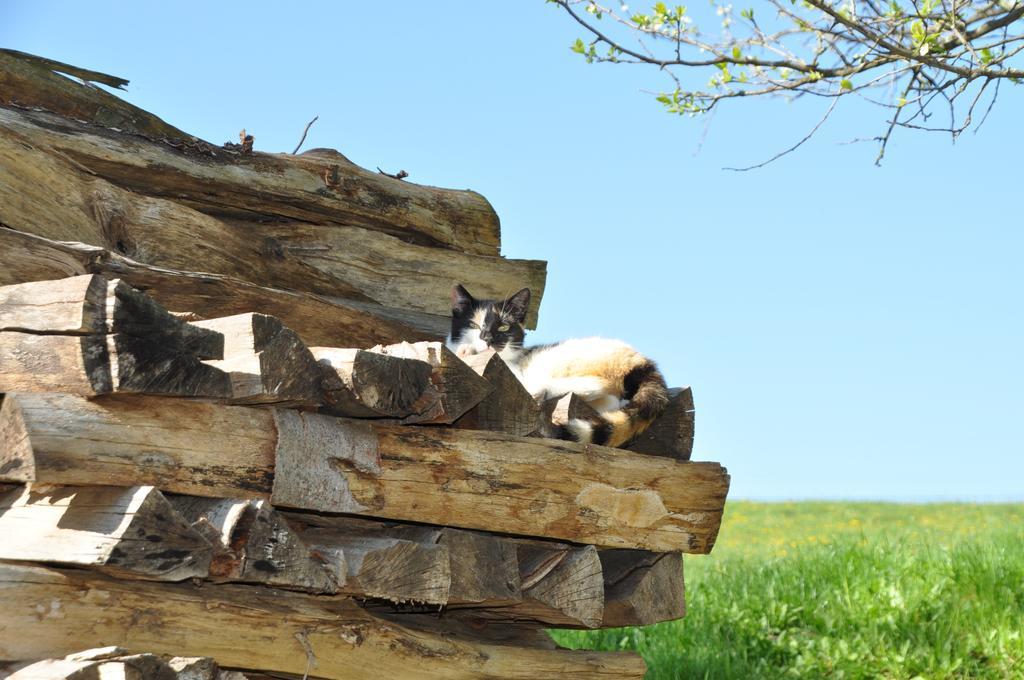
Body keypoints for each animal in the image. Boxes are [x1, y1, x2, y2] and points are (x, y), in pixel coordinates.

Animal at [444, 280, 667, 446]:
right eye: (473, 325)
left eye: (504, 326)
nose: (487, 339)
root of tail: (642, 361)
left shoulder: (516, 369)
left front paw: (466, 350)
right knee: (611, 400)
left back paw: (542, 390)